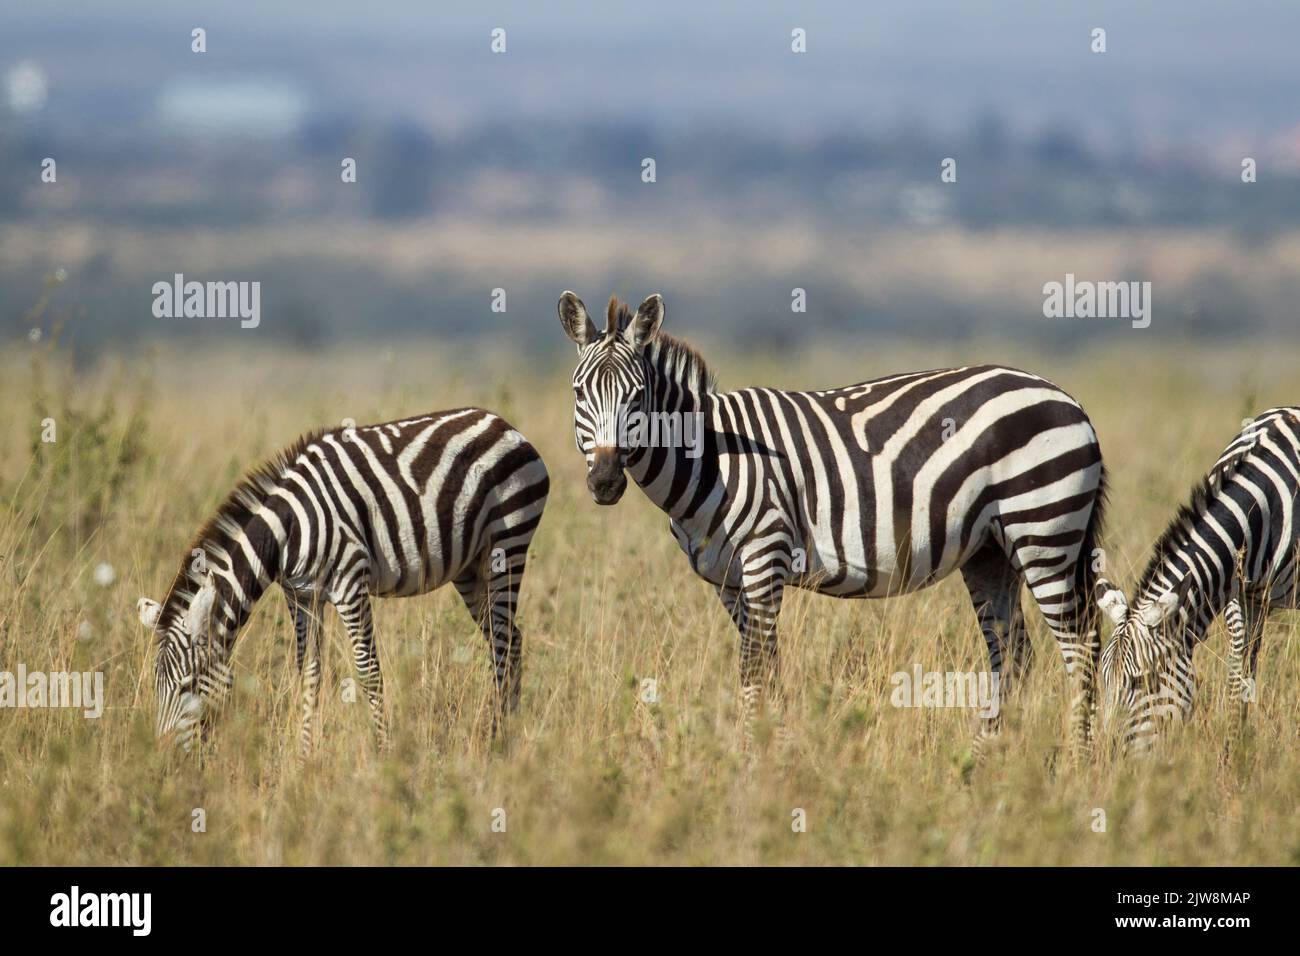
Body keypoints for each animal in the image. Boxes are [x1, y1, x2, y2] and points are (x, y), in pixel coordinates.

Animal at [135, 408, 548, 754]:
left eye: (188, 685)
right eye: (155, 686)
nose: (165, 759)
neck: (287, 532)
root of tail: (501, 422)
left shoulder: (351, 585)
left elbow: (368, 672)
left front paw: (383, 753)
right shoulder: (302, 597)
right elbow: (309, 674)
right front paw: (303, 758)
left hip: (507, 544)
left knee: (503, 642)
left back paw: (497, 739)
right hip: (470, 569)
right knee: (511, 639)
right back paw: (507, 733)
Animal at [556, 291, 1107, 754]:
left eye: (637, 396)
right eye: (580, 393)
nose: (605, 482)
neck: (714, 456)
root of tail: (1070, 399)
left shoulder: (765, 555)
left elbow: (756, 671)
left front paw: (756, 768)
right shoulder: (729, 581)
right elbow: (765, 669)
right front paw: (770, 754)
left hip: (1043, 531)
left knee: (1079, 651)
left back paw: (1077, 765)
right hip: (991, 550)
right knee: (1013, 656)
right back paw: (982, 765)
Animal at [1097, 408, 1300, 749]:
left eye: (1141, 681)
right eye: (1103, 678)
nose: (1107, 752)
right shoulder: (1238, 591)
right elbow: (1239, 670)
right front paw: (1234, 745)